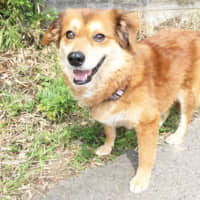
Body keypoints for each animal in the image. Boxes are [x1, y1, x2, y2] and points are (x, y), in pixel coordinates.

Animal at [41, 8, 200, 193]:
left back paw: (176, 136)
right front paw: (107, 147)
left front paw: (141, 179)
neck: (122, 81)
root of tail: (193, 33)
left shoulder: (146, 120)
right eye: (69, 34)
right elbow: (110, 132)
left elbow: (146, 157)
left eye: (99, 36)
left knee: (185, 118)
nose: (74, 58)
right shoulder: (108, 115)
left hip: (187, 93)